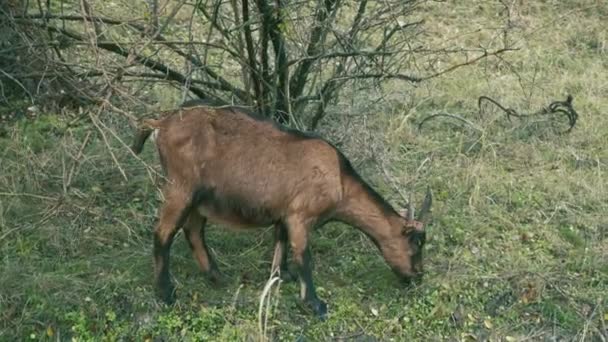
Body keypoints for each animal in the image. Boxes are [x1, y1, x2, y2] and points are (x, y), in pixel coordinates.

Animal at [131, 103, 432, 320]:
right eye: (415, 243)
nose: (417, 276)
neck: (339, 180)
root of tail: (161, 123)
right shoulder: (301, 216)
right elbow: (303, 257)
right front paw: (315, 304)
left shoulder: (284, 213)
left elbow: (280, 242)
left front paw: (280, 275)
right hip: (181, 187)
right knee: (163, 233)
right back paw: (166, 293)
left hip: (198, 198)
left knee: (193, 231)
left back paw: (217, 277)